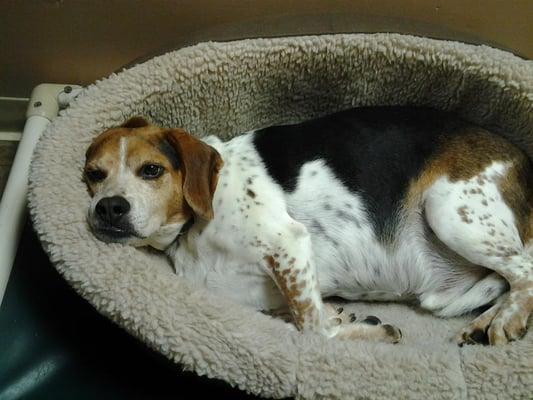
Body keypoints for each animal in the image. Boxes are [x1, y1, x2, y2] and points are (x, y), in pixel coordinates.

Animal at [84, 108, 532, 346]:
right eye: (93, 174)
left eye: (151, 170)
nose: (108, 208)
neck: (192, 228)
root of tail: (524, 158)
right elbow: (300, 316)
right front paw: (340, 317)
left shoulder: (288, 243)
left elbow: (311, 330)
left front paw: (366, 331)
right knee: (506, 280)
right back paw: (482, 324)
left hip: (450, 214)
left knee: (524, 271)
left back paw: (504, 321)